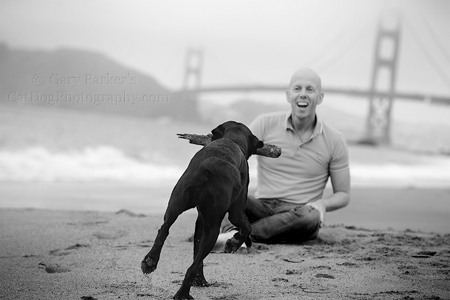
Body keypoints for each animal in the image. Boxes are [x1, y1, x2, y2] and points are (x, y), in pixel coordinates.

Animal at [142, 120, 264, 298]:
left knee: (164, 230)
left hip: (176, 204)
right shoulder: (235, 212)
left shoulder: (201, 220)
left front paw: (200, 281)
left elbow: (196, 250)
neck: (232, 140)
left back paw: (150, 261)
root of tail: (211, 167)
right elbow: (247, 228)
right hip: (214, 227)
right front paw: (233, 243)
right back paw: (183, 294)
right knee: (192, 266)